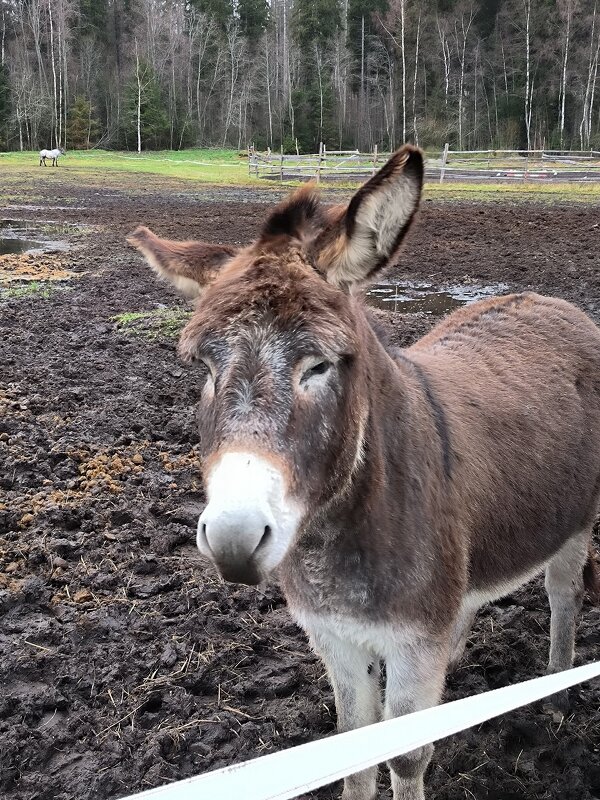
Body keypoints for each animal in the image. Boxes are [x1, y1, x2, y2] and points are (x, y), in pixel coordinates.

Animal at [126, 144, 600, 800]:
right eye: (205, 368)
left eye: (319, 366)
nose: (233, 540)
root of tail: (551, 301)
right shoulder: (333, 636)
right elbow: (353, 745)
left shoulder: (411, 642)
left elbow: (405, 755)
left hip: (575, 522)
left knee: (563, 594)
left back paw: (555, 687)